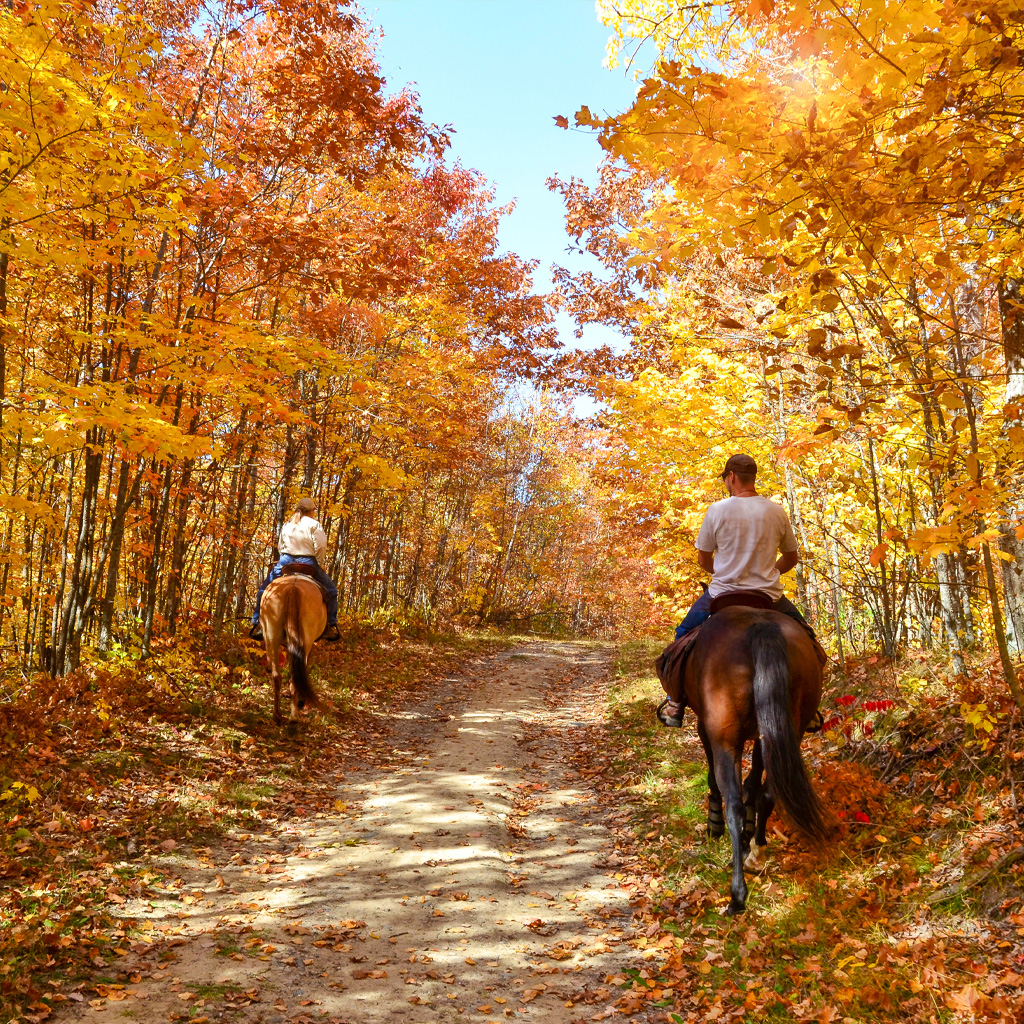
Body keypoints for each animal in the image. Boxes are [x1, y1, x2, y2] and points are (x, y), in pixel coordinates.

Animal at [258, 577, 325, 729]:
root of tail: (293, 586)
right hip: (306, 641)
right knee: (295, 675)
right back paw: (294, 717)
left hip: (272, 638)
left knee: (277, 677)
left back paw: (277, 715)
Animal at [679, 602, 831, 917]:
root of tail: (761, 626)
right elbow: (755, 786)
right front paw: (751, 840)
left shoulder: (707, 729)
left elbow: (717, 780)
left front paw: (714, 824)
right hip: (788, 727)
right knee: (770, 792)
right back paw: (756, 852)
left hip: (726, 740)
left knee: (734, 803)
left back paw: (737, 895)